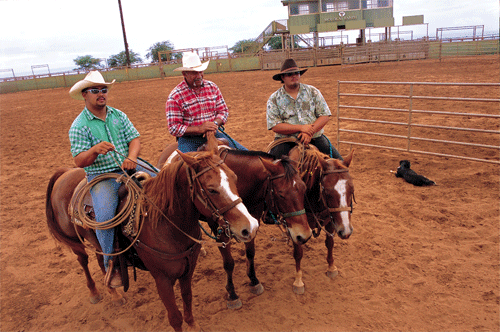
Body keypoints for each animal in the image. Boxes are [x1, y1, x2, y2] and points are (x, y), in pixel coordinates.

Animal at [44, 143, 258, 330]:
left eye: (235, 178)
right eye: (212, 189)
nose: (250, 226)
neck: (165, 225)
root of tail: (67, 172)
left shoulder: (187, 270)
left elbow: (187, 300)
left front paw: (193, 325)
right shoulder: (162, 279)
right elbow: (175, 317)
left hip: (96, 240)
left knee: (102, 258)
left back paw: (113, 290)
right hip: (75, 242)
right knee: (83, 260)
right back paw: (96, 293)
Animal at [157, 143, 312, 308]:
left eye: (303, 188)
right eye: (281, 194)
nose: (304, 235)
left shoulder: (251, 224)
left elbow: (250, 252)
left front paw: (254, 281)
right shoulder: (220, 231)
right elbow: (229, 263)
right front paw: (232, 294)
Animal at [288, 144, 354, 294]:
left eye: (352, 190)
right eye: (327, 192)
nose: (346, 231)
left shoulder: (330, 221)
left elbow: (329, 243)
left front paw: (331, 267)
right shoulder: (296, 224)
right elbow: (298, 253)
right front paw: (298, 281)